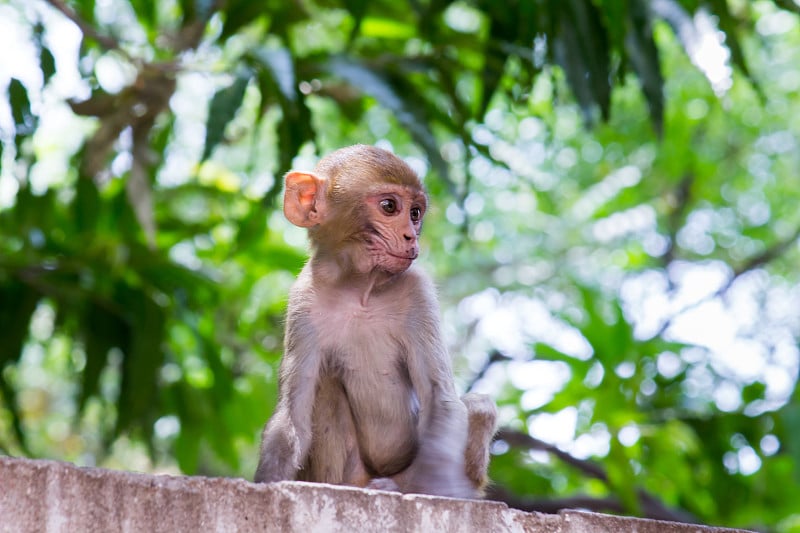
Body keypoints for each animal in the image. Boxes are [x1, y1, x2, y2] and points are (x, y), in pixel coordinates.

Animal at [255, 143, 494, 496]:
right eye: (389, 206)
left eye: (415, 213)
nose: (411, 236)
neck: (359, 290)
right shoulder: (302, 302)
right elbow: (292, 417)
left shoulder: (419, 292)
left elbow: (441, 400)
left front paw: (440, 484)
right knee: (325, 384)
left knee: (478, 406)